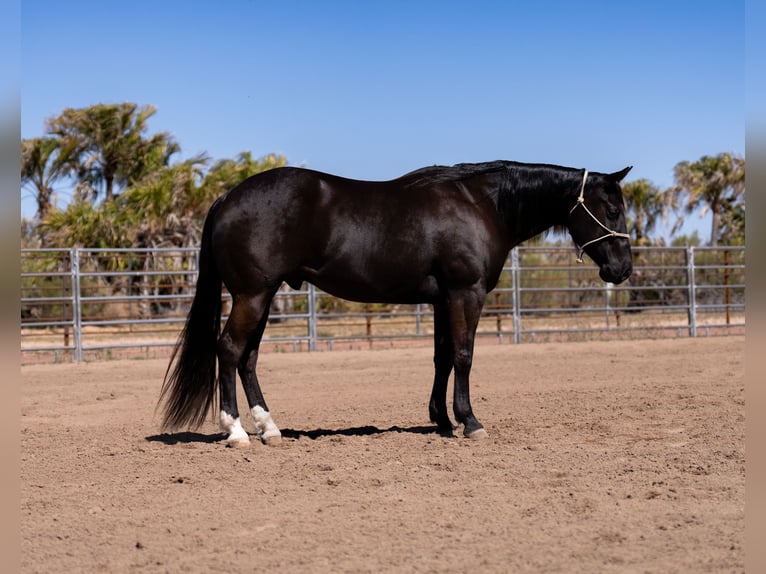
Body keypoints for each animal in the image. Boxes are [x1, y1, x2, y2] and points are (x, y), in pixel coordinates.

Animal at [158, 160, 633, 447]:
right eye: (611, 209)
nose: (623, 269)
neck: (480, 206)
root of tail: (228, 197)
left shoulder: (442, 299)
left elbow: (443, 358)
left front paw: (442, 420)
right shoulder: (466, 293)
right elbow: (464, 355)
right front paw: (470, 422)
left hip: (263, 295)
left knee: (249, 357)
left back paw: (269, 428)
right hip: (252, 295)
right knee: (229, 350)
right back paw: (236, 431)